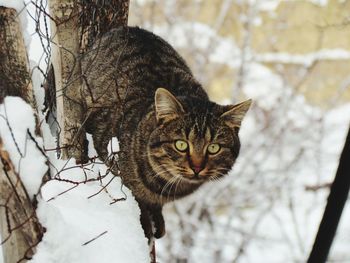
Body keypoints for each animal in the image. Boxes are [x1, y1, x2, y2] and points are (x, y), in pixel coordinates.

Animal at [81, 26, 252, 241]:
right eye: (181, 144)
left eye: (213, 148)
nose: (197, 167)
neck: (165, 185)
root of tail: (128, 28)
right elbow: (137, 200)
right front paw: (145, 223)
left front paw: (157, 219)